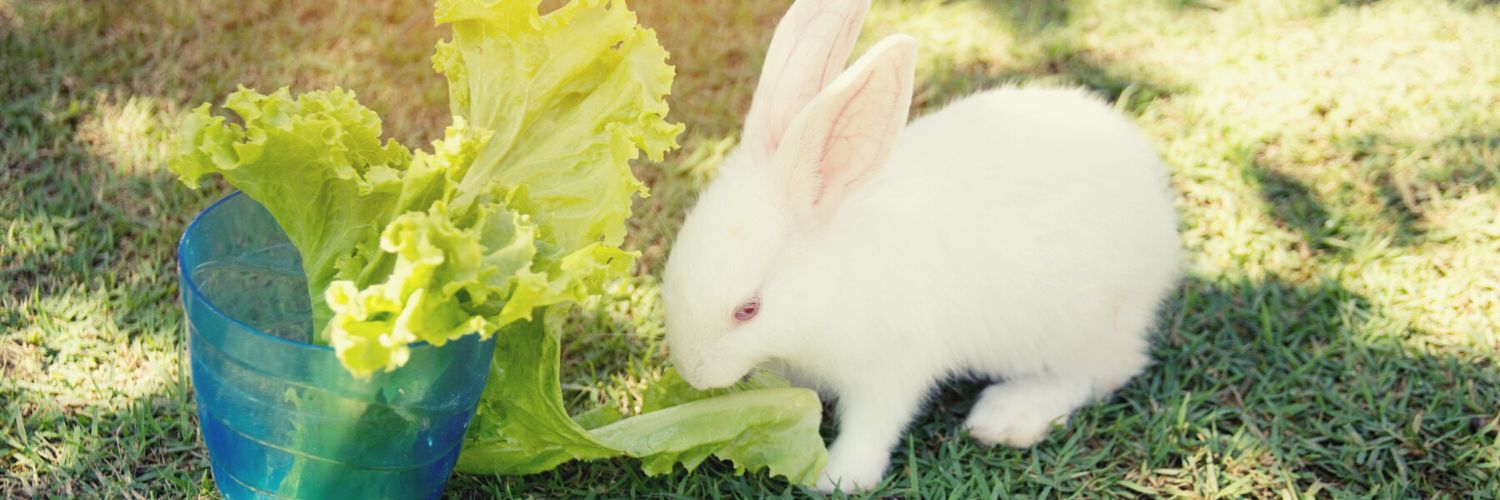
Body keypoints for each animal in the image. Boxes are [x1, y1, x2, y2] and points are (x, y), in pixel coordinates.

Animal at [661, 0, 1181, 492]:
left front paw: (838, 478)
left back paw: (1007, 416)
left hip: (1071, 328)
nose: (693, 373)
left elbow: (874, 424)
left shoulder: (891, 366)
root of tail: (1158, 212)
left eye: (748, 310)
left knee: (1102, 371)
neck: (828, 284)